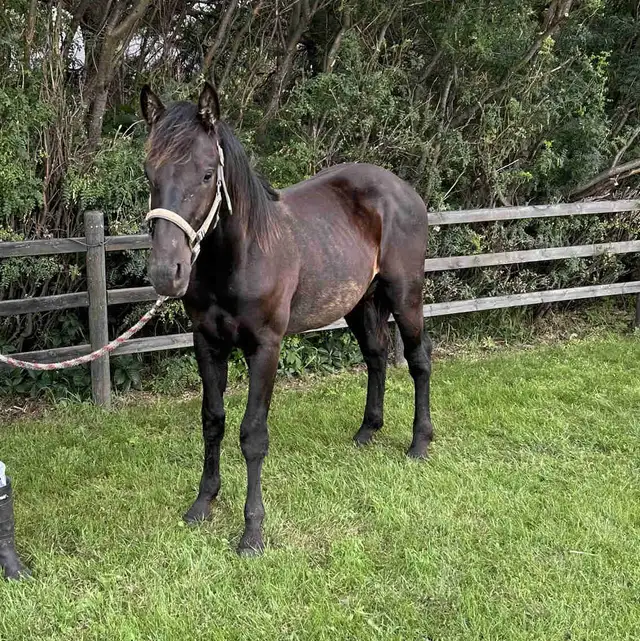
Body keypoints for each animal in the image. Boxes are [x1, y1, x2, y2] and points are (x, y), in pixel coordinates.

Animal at [140, 82, 434, 555]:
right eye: (150, 172)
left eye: (206, 174)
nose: (168, 272)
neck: (241, 255)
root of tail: (405, 191)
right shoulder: (207, 343)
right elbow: (213, 422)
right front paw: (203, 503)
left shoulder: (266, 348)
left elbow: (252, 435)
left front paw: (252, 531)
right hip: (359, 303)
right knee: (376, 356)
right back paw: (366, 432)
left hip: (405, 295)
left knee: (419, 360)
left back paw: (419, 443)